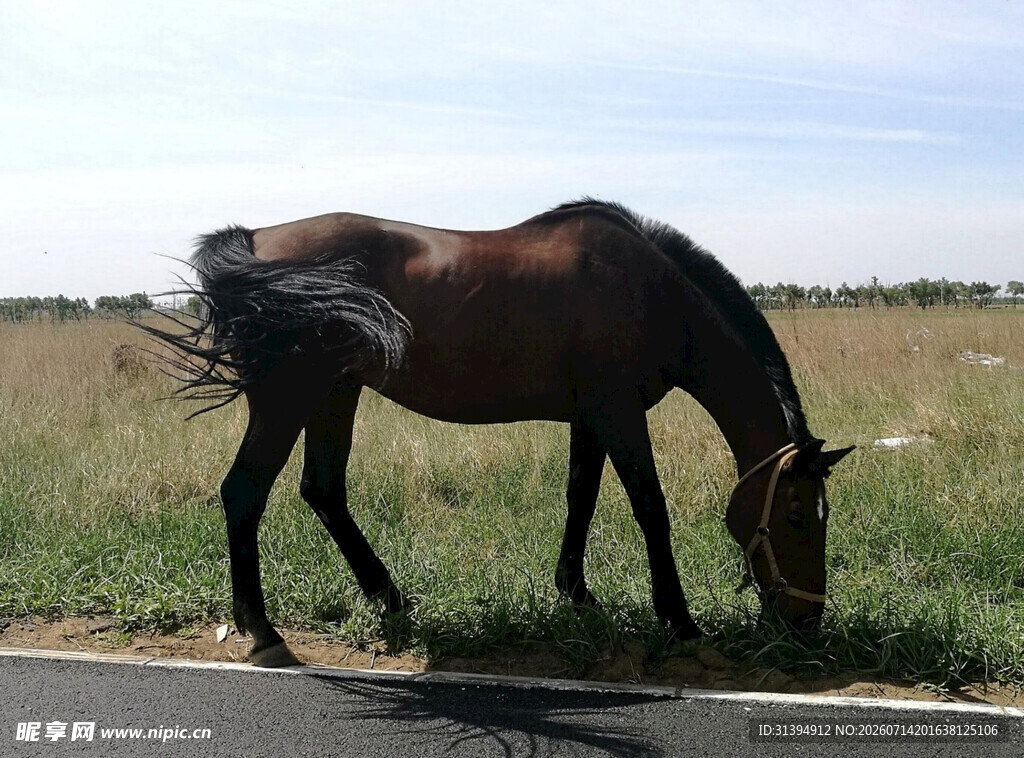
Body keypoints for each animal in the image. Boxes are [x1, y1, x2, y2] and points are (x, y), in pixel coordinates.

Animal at [139, 198, 854, 668]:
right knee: (244, 492)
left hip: (335, 392)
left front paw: (577, 594)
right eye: (797, 517)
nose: (808, 619)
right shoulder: (619, 413)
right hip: (289, 397)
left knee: (322, 490)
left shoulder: (592, 416)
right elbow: (650, 508)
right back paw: (263, 631)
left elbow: (580, 499)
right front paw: (678, 620)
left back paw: (389, 597)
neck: (651, 292)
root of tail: (255, 239)